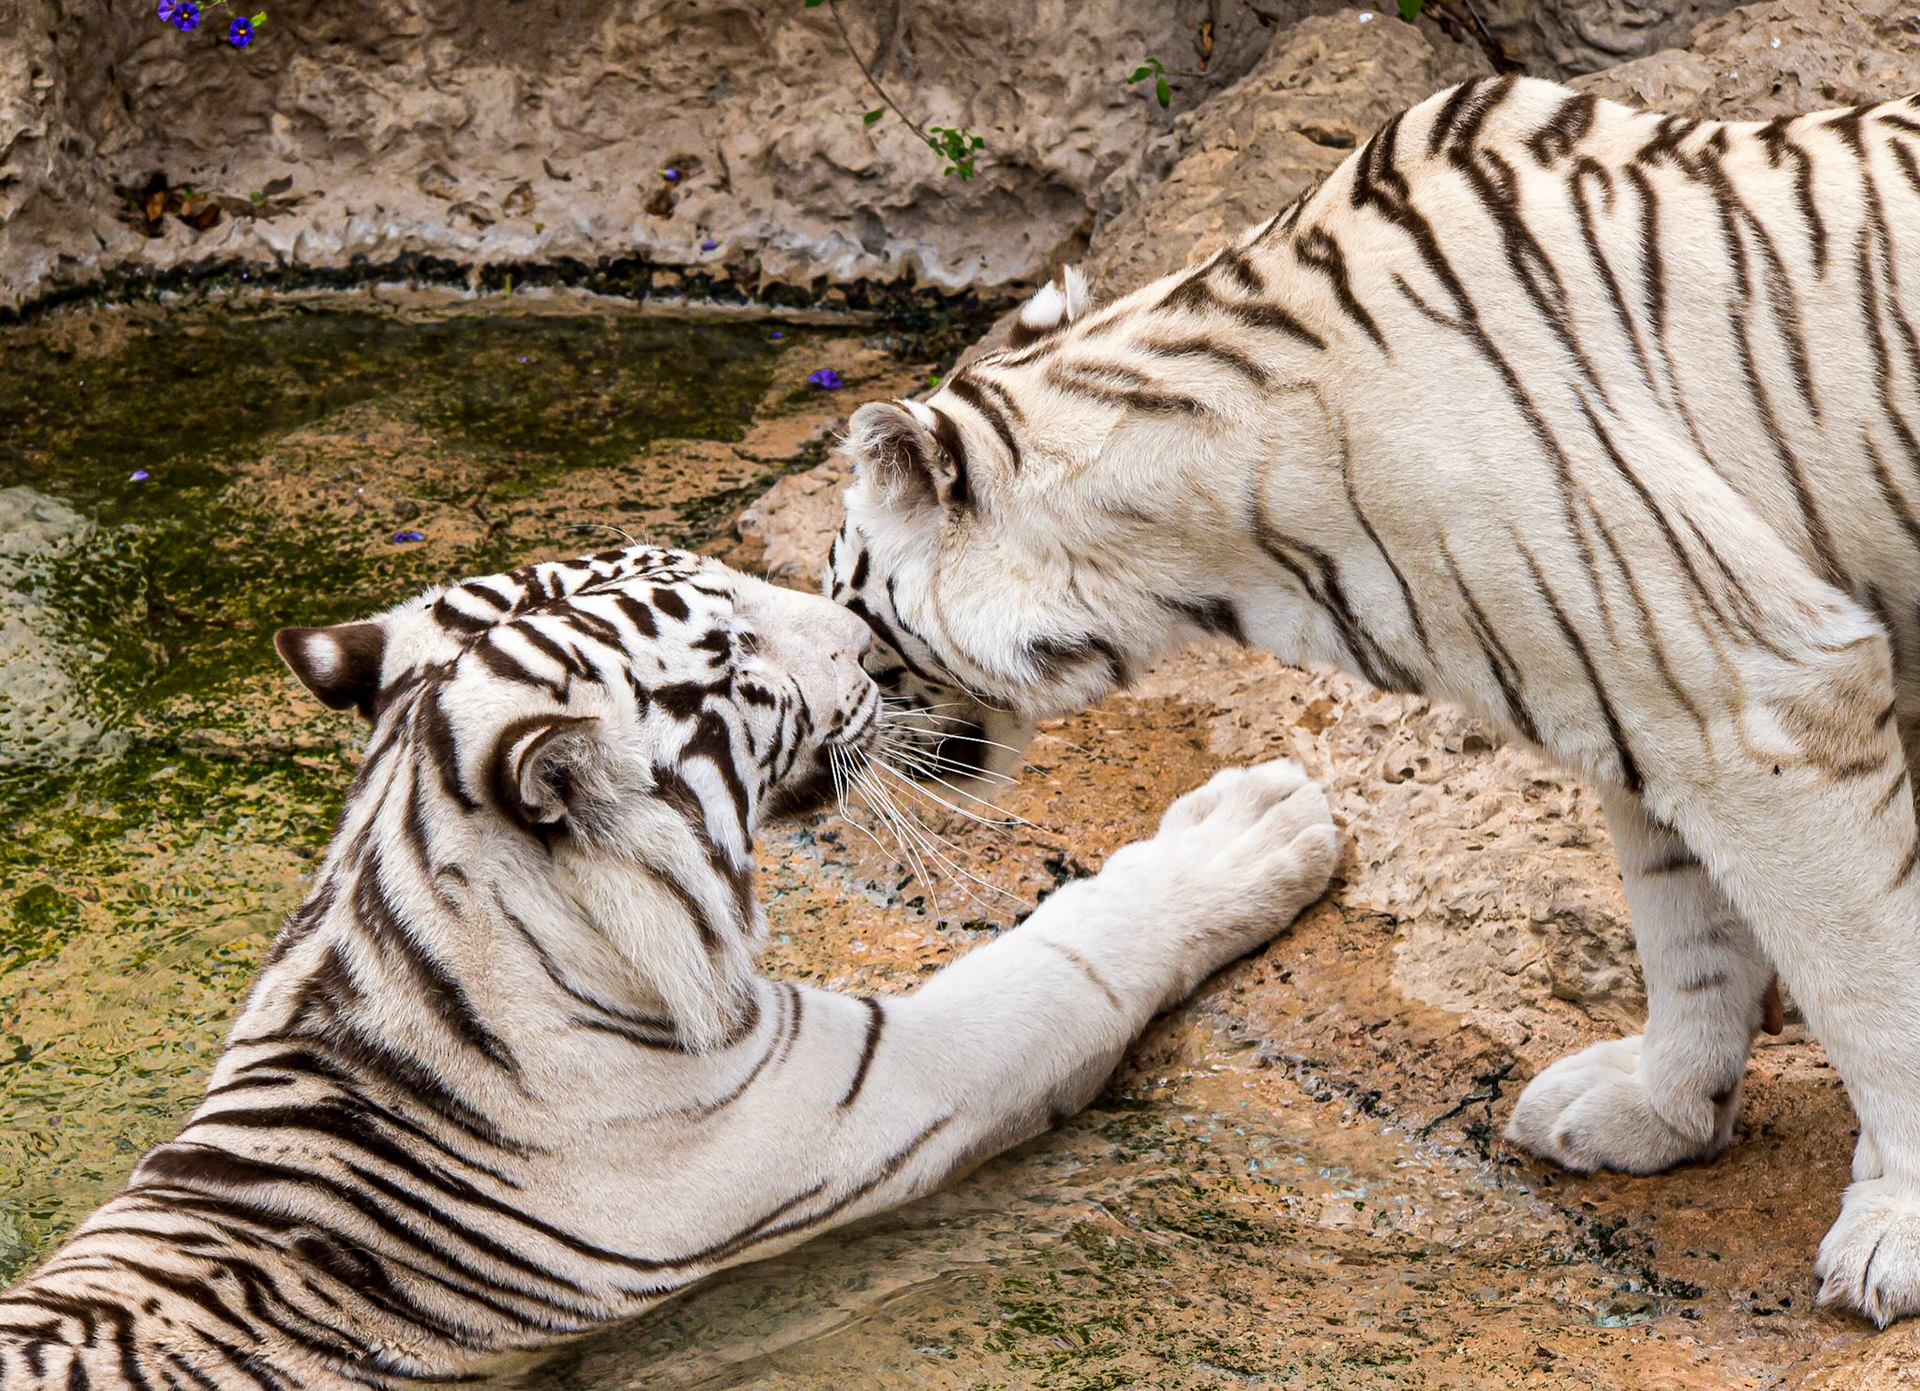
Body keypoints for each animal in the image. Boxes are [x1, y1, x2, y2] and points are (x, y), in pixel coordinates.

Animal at [826, 73, 1920, 1325]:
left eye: (847, 616)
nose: (844, 757)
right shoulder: (1641, 685)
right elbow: (1687, 922)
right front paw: (1658, 1110)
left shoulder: (1755, 689)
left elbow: (1866, 976)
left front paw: (1894, 1228)